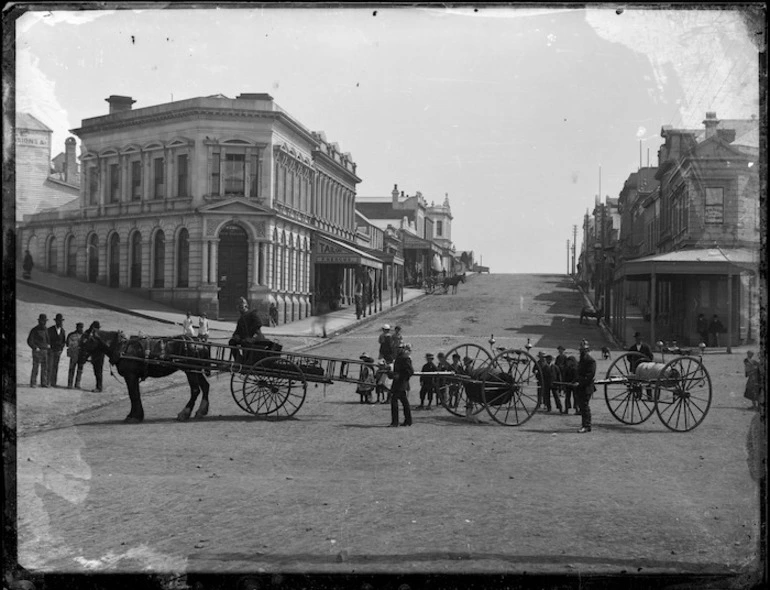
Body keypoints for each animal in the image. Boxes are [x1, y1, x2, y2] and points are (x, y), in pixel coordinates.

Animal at [78, 330, 212, 424]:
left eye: (84, 341)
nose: (79, 359)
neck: (122, 348)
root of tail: (201, 343)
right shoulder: (133, 376)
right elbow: (135, 395)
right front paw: (135, 415)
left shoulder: (130, 376)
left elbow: (133, 395)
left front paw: (134, 416)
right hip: (196, 369)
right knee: (205, 386)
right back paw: (201, 411)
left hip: (190, 371)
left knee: (195, 390)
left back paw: (184, 413)